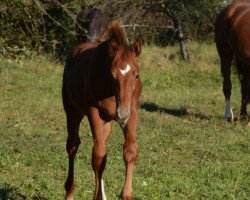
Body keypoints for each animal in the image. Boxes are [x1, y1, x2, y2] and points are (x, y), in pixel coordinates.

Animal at [61, 19, 142, 199]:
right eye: (112, 76)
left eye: (136, 75)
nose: (122, 114)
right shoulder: (94, 113)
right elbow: (98, 156)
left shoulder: (132, 112)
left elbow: (130, 150)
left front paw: (127, 194)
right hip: (73, 111)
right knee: (73, 146)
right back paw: (69, 190)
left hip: (108, 122)